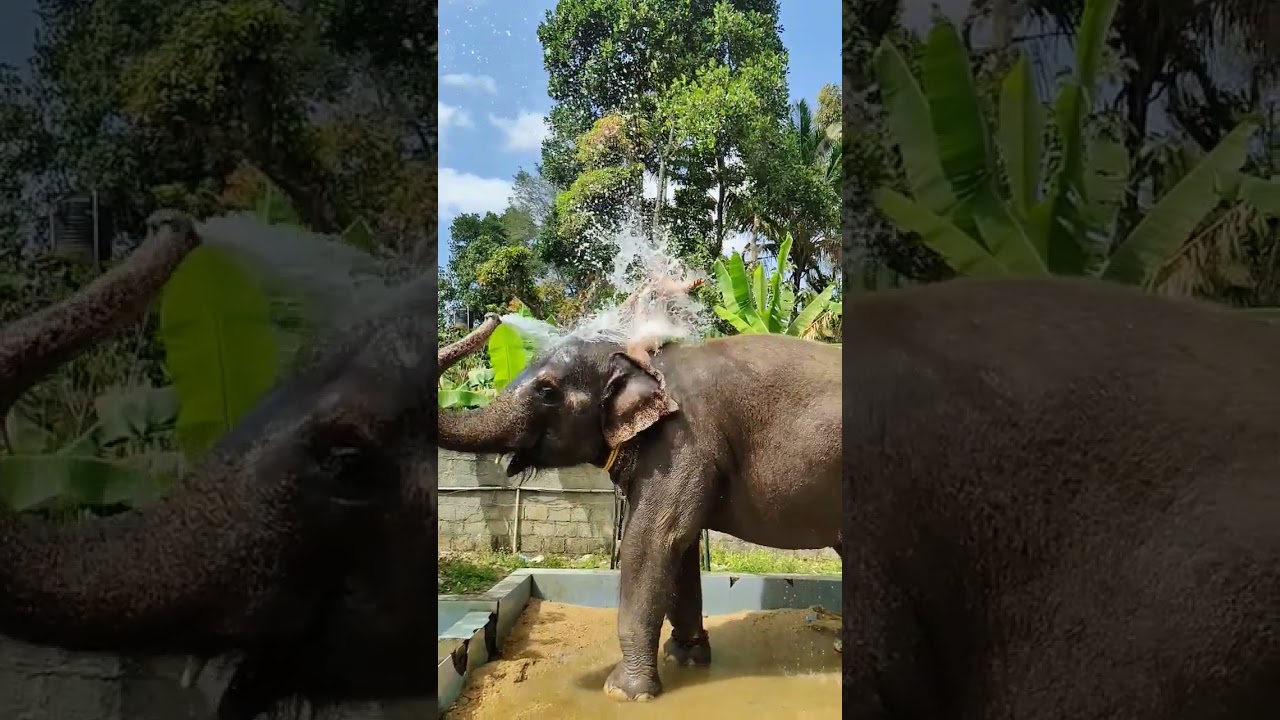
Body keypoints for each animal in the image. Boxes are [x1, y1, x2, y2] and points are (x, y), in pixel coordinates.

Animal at [436, 286, 842, 702]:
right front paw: (684, 659)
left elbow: (653, 539)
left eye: (547, 392)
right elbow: (680, 547)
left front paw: (624, 693)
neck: (642, 360)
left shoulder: (682, 440)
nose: (494, 317)